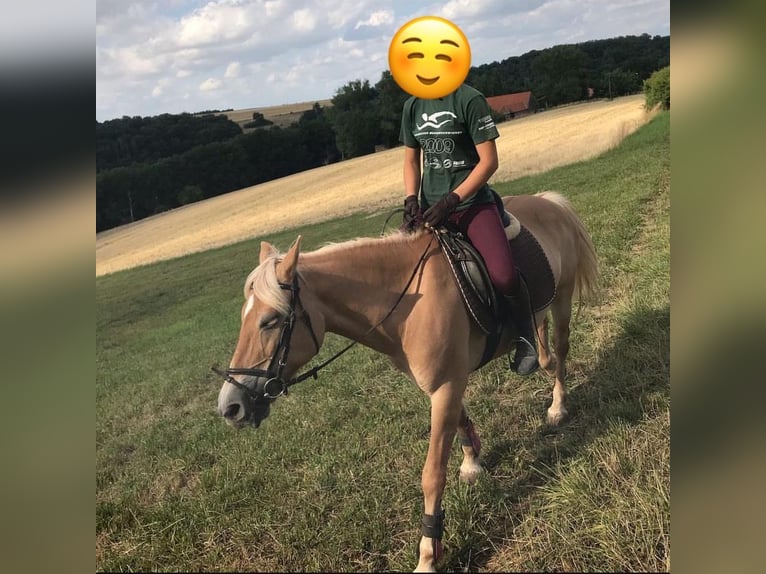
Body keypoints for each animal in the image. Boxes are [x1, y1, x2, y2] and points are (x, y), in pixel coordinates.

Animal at [214, 192, 600, 572]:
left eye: (270, 321)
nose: (230, 406)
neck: (407, 302)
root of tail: (549, 201)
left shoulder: (445, 386)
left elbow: (432, 473)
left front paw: (429, 555)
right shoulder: (442, 383)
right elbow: (460, 422)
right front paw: (472, 460)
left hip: (562, 301)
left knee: (560, 351)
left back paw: (558, 405)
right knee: (542, 340)